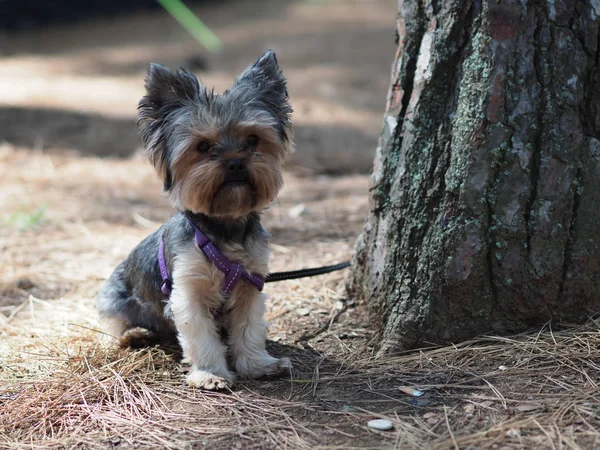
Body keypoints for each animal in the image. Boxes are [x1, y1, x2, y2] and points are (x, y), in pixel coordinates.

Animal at [97, 51, 294, 390]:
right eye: (202, 146)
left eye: (253, 140)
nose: (235, 163)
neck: (224, 227)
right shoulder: (189, 290)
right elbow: (201, 335)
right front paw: (211, 374)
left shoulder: (250, 284)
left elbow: (249, 328)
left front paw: (258, 364)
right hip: (114, 296)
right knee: (116, 322)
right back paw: (134, 334)